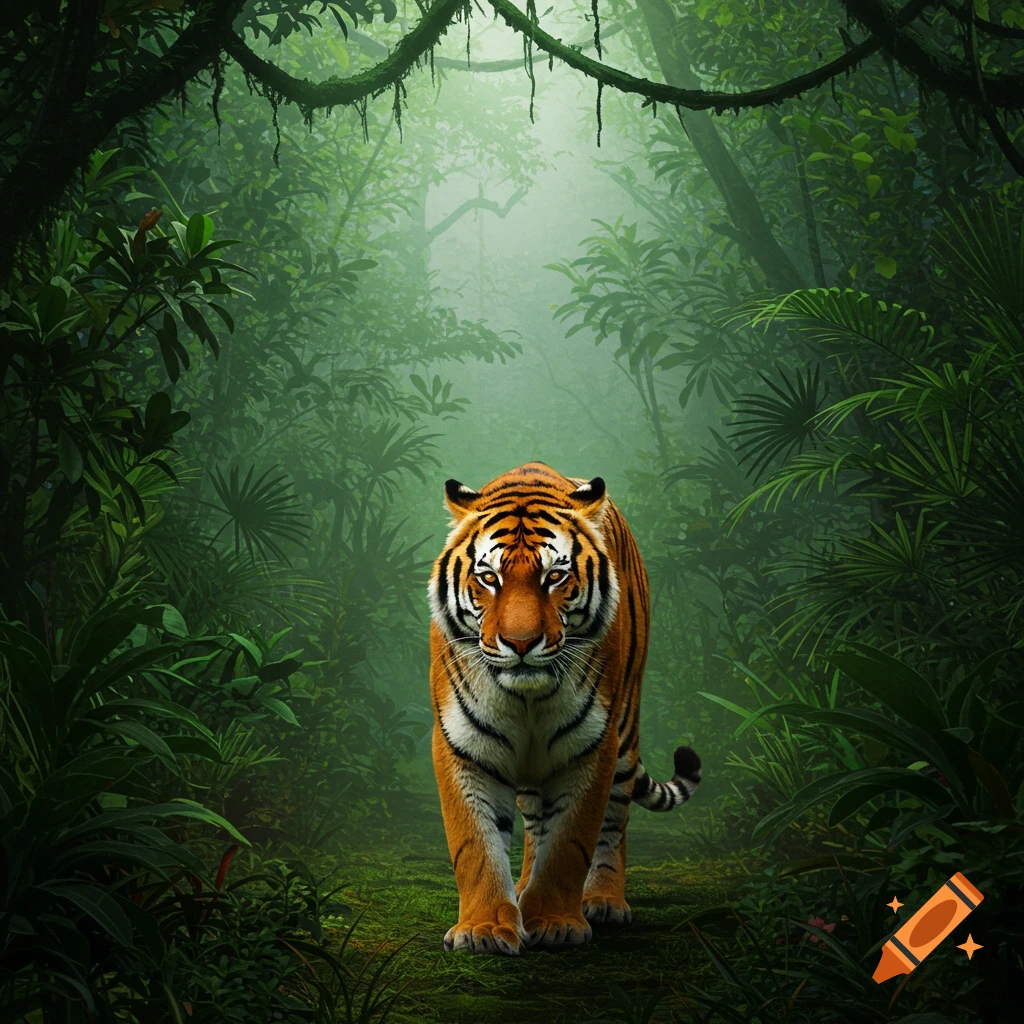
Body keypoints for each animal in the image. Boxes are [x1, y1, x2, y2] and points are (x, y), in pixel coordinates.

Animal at [428, 461, 701, 955]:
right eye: (489, 578)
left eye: (554, 577)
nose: (519, 643)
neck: (527, 696)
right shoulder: (464, 744)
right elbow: (476, 844)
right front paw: (483, 929)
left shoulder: (591, 745)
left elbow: (570, 842)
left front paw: (555, 922)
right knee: (536, 821)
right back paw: (521, 890)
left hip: (625, 734)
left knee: (614, 822)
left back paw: (604, 901)